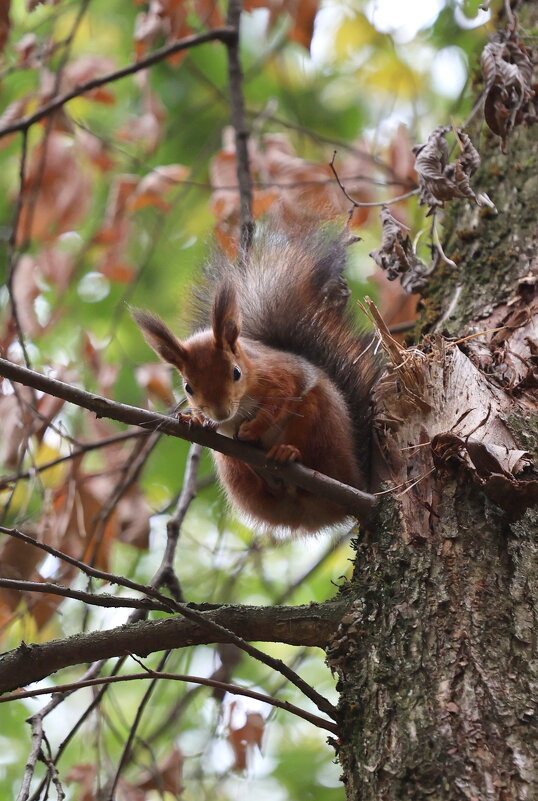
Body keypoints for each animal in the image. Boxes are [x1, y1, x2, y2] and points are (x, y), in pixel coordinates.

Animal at [133, 228, 376, 536]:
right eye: (187, 387)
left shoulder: (282, 377)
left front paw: (252, 429)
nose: (220, 413)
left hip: (321, 423)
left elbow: (277, 403)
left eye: (236, 373)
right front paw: (195, 419)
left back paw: (287, 453)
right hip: (230, 465)